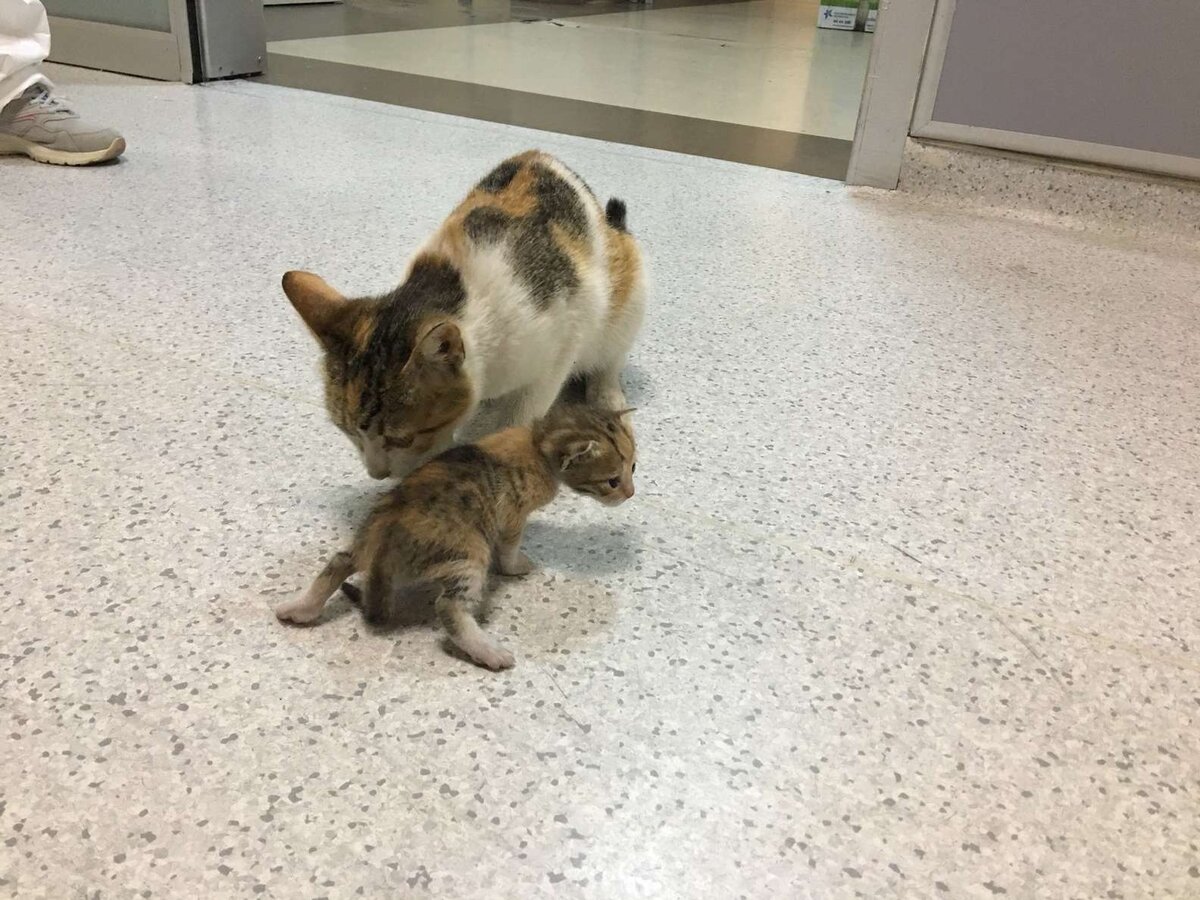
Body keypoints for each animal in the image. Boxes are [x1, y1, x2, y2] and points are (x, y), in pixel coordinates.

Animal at [276, 405, 638, 672]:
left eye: (634, 467)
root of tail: (383, 545)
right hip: (469, 555)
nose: (631, 493)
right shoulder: (512, 517)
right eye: (612, 481)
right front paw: (516, 566)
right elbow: (509, 548)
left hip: (366, 535)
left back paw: (298, 609)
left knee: (339, 561)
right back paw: (491, 652)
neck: (538, 443)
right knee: (449, 607)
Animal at [282, 151, 648, 482]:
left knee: (609, 359)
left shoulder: (561, 342)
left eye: (403, 438)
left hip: (629, 298)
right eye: (347, 432)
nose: (378, 474)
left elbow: (522, 413)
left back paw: (606, 396)